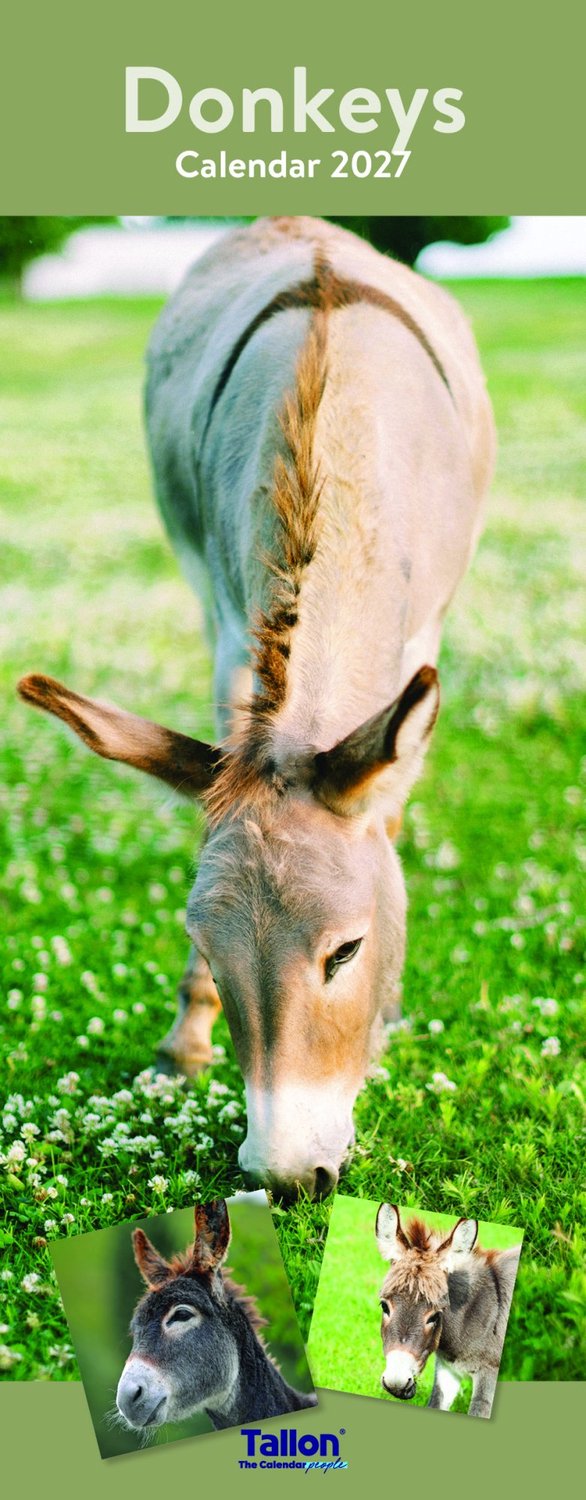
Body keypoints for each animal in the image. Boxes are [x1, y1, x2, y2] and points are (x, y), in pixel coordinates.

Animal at [18, 216, 495, 1198]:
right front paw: (184, 1044)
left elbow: (391, 815)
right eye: (206, 944)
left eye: (345, 953)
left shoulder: (420, 642)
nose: (287, 1180)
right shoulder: (233, 637)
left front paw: (387, 1015)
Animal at [376, 1203, 521, 1417]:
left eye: (435, 1315)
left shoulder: (489, 1373)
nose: (397, 1384)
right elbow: (436, 1403)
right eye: (384, 1306)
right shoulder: (447, 1370)